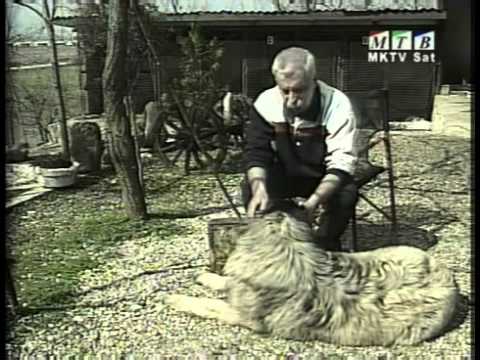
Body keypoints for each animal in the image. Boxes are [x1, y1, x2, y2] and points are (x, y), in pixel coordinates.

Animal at [167, 211, 460, 346]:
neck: (286, 249)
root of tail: (449, 277)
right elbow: (222, 283)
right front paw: (206, 276)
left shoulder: (243, 316)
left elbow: (208, 304)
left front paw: (176, 298)